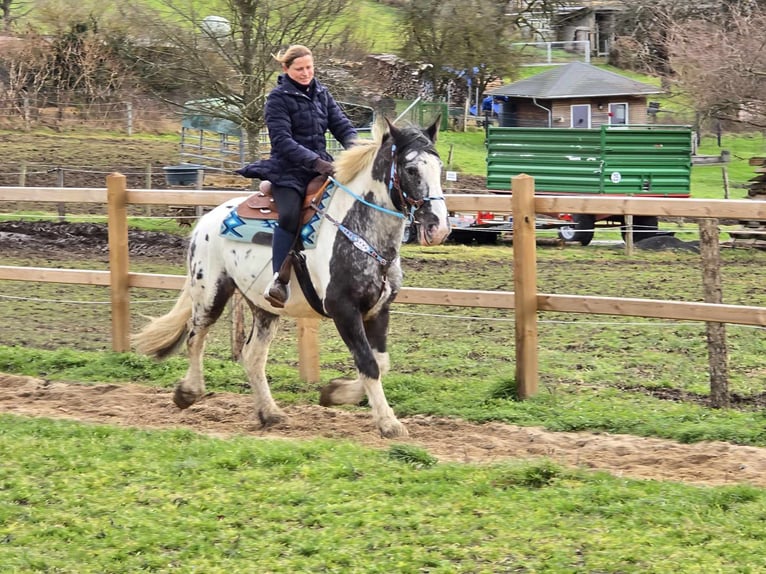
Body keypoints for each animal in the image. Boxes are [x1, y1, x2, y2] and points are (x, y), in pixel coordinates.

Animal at [135, 118, 452, 440]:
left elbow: (381, 362)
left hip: (263, 307)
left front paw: (334, 393)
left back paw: (270, 413)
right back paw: (188, 393)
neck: (357, 231)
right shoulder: (343, 309)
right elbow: (368, 363)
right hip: (210, 291)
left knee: (252, 355)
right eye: (411, 169)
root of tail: (206, 221)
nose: (438, 227)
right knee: (195, 336)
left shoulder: (378, 310)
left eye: (439, 166)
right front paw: (388, 423)